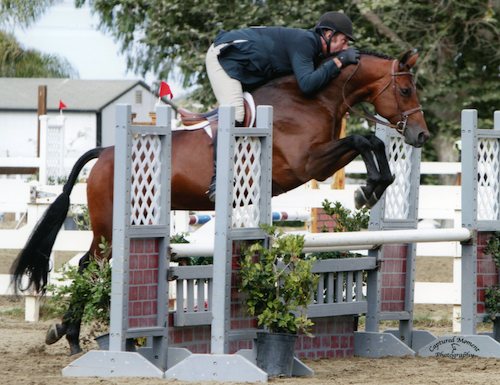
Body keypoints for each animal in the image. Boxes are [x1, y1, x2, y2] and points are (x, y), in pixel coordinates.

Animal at [9, 48, 428, 354]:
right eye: (406, 91)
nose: (421, 135)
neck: (314, 98)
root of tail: (104, 152)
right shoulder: (307, 164)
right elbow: (362, 139)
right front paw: (366, 189)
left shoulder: (316, 165)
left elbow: (370, 142)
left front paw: (373, 187)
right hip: (110, 229)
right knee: (87, 267)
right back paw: (69, 335)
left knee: (88, 267)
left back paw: (68, 332)